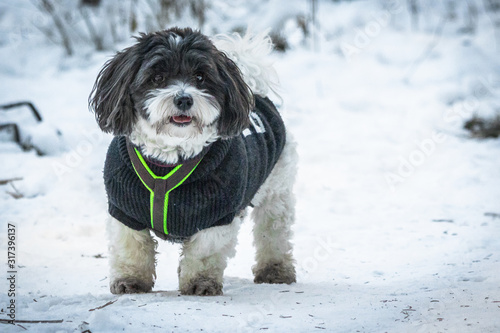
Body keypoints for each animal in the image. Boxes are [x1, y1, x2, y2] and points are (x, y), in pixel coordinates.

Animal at [89, 27, 296, 294]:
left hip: (276, 189)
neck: (170, 156)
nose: (184, 99)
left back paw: (275, 270)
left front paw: (201, 283)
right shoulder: (124, 209)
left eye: (200, 77)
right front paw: (130, 280)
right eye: (157, 77)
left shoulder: (216, 215)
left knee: (273, 231)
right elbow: (131, 248)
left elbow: (203, 252)